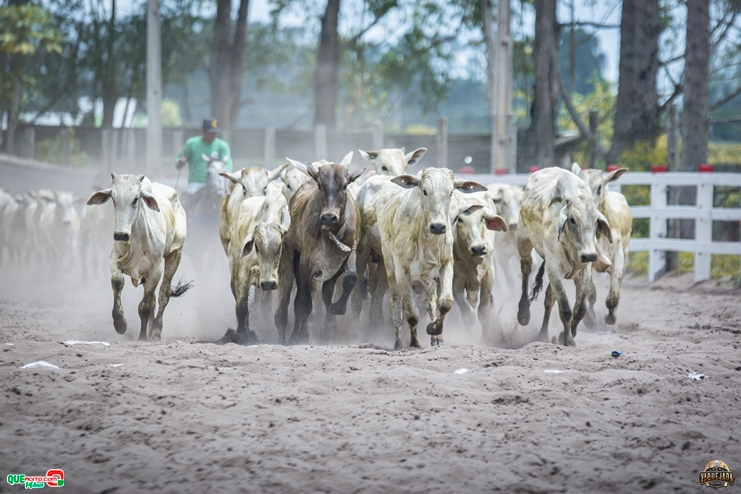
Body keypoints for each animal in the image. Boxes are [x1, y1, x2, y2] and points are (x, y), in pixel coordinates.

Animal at [88, 173, 189, 340]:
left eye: (136, 199)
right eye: (113, 198)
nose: (121, 235)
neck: (136, 237)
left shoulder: (156, 269)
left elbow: (145, 306)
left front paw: (142, 337)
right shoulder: (114, 258)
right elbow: (117, 282)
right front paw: (120, 323)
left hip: (175, 255)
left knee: (163, 294)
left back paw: (155, 331)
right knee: (154, 299)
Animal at [274, 161, 362, 344]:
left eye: (344, 186)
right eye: (320, 185)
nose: (329, 217)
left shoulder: (349, 253)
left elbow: (351, 277)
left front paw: (338, 307)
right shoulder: (306, 262)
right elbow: (304, 302)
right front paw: (300, 335)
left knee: (326, 293)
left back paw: (329, 327)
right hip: (292, 256)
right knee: (296, 298)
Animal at [376, 168, 486, 350]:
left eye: (451, 192)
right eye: (425, 191)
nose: (438, 226)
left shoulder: (446, 266)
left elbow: (445, 302)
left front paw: (435, 330)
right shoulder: (402, 274)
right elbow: (412, 313)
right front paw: (414, 342)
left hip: (429, 281)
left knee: (431, 303)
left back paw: (436, 338)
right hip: (391, 270)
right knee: (396, 305)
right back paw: (398, 342)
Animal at [516, 168, 612, 346]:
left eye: (596, 221)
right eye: (572, 219)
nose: (589, 255)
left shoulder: (584, 271)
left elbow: (580, 308)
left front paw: (567, 334)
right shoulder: (554, 267)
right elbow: (566, 308)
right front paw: (568, 340)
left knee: (549, 299)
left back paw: (543, 334)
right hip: (523, 241)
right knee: (526, 269)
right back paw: (524, 313)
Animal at [572, 166, 632, 326]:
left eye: (599, 187)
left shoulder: (618, 254)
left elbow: (614, 291)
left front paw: (610, 317)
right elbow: (590, 292)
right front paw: (590, 319)